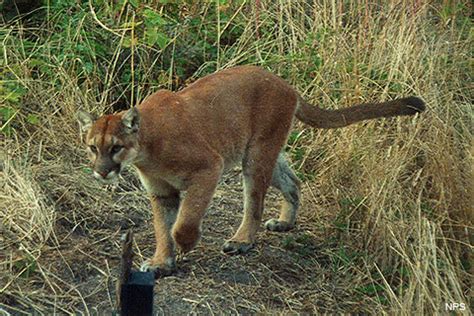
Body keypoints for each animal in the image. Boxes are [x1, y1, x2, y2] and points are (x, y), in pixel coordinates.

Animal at [78, 66, 426, 276]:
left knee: (254, 205)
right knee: (293, 181)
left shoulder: (209, 167)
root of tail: (287, 85)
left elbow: (184, 221)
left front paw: (186, 244)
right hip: (265, 152)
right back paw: (285, 223)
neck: (147, 148)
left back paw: (242, 241)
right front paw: (162, 262)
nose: (102, 172)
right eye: (93, 147)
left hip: (256, 155)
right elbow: (162, 228)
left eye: (115, 147)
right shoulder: (161, 192)